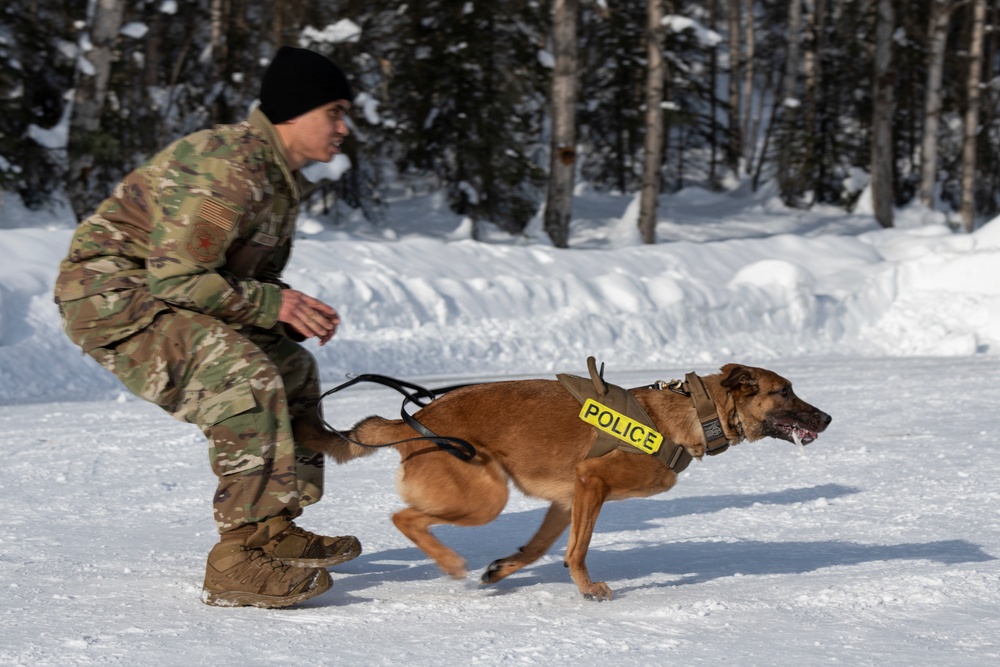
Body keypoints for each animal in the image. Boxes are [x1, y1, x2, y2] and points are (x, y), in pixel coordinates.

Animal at [302, 362, 828, 604]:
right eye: (785, 392)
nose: (826, 418)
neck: (694, 415)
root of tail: (414, 420)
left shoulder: (567, 498)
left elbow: (539, 547)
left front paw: (502, 569)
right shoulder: (592, 482)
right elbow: (578, 549)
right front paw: (588, 588)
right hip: (485, 495)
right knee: (403, 517)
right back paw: (449, 562)